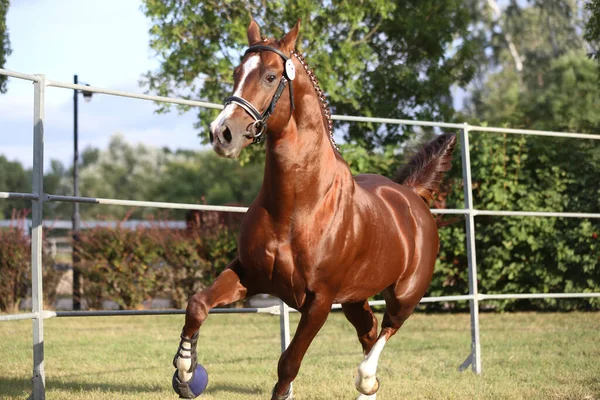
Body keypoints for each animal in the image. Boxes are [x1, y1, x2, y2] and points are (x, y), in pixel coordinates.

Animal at [171, 18, 458, 400]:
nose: (222, 133)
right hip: (355, 299)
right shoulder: (248, 274)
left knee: (385, 331)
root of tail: (411, 197)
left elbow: (288, 364)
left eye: (271, 76)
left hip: (405, 295)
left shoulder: (319, 301)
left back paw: (367, 379)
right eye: (236, 73)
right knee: (369, 332)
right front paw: (187, 371)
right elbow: (198, 304)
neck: (297, 208)